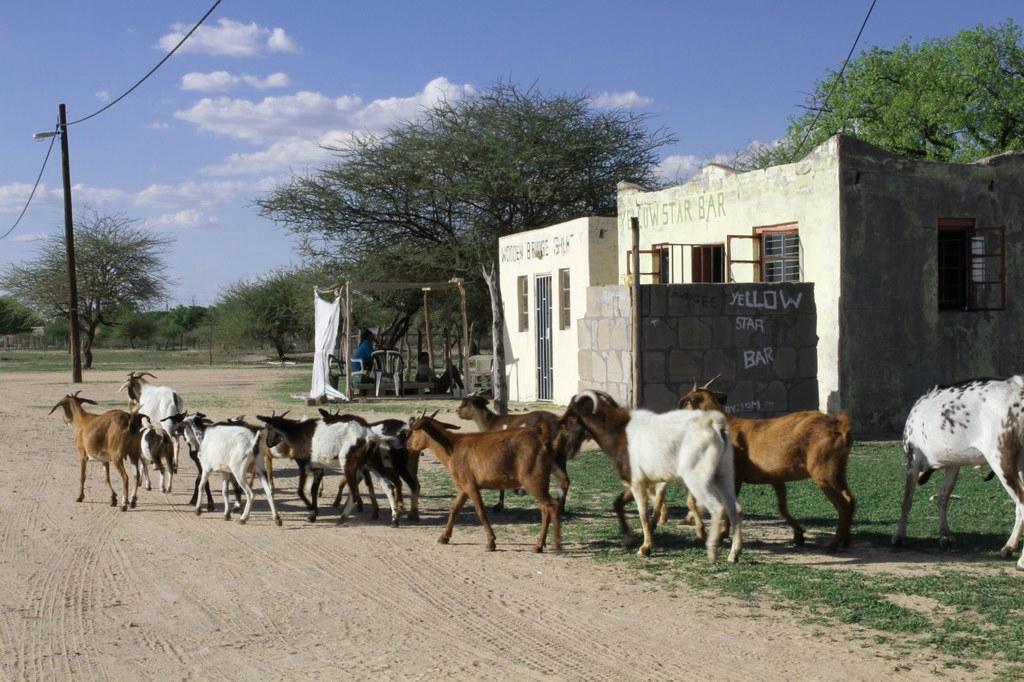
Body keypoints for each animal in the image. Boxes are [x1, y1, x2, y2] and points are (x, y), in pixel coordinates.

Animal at [407, 411, 565, 548]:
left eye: (414, 431)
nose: (407, 445)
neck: (452, 448)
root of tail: (543, 441)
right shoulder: (464, 486)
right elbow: (454, 508)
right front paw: (444, 537)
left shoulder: (470, 485)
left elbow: (480, 511)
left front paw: (491, 541)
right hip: (541, 480)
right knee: (545, 507)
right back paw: (540, 543)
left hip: (532, 480)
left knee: (551, 505)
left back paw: (553, 544)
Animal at [679, 385, 856, 548]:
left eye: (685, 403)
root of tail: (839, 427)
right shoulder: (775, 478)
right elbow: (782, 507)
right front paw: (798, 535)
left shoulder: (735, 477)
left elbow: (728, 504)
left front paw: (722, 534)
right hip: (840, 471)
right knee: (850, 499)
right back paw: (845, 540)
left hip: (824, 473)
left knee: (843, 505)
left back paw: (834, 544)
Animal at [892, 374, 1024, 565]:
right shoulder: (953, 464)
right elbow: (943, 497)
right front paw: (945, 535)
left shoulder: (913, 460)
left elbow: (907, 500)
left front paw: (899, 536)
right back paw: (1009, 547)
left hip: (1001, 460)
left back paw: (1020, 560)